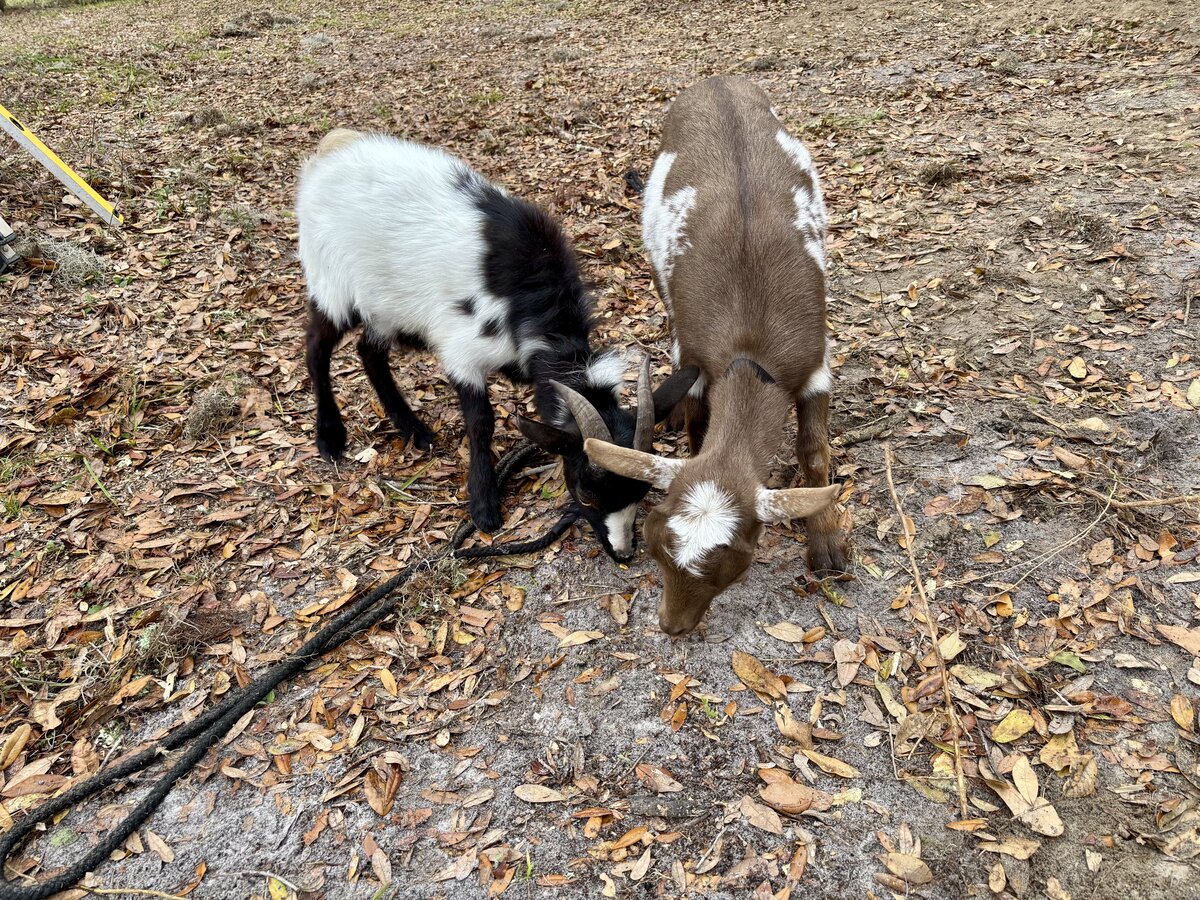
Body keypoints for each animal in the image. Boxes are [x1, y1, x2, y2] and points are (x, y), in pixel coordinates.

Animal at [296, 129, 697, 558]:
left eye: (641, 492)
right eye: (586, 493)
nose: (622, 552)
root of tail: (332, 149)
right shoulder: (463, 352)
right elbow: (481, 422)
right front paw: (484, 505)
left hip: (386, 306)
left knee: (369, 352)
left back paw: (413, 429)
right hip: (333, 282)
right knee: (317, 347)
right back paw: (330, 436)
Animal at [584, 77, 849, 634]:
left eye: (732, 564)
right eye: (658, 549)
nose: (671, 625)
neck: (750, 354)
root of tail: (717, 82)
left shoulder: (815, 363)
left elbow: (814, 454)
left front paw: (826, 545)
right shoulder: (695, 357)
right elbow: (697, 426)